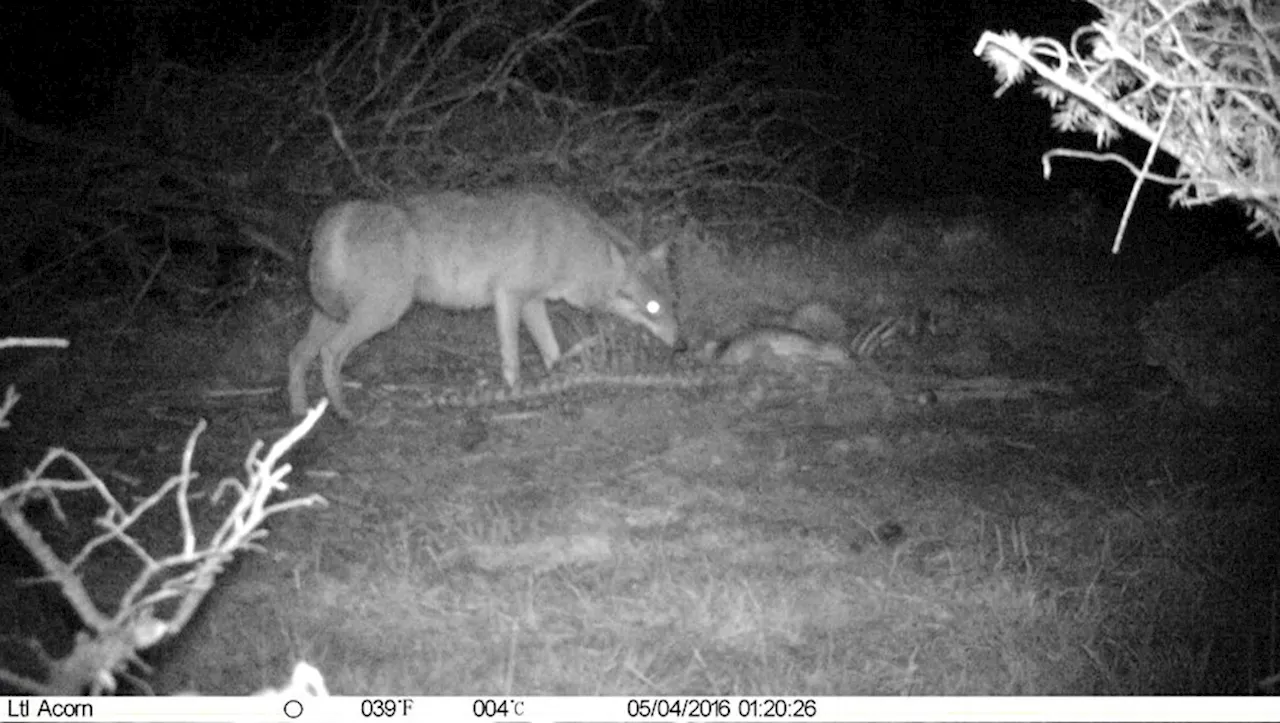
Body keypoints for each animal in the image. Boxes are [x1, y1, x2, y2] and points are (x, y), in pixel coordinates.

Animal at [288, 188, 680, 417]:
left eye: (671, 304)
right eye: (652, 309)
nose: (683, 345)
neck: (571, 245)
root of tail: (336, 216)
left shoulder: (532, 303)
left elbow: (552, 352)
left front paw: (561, 382)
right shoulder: (508, 298)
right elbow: (513, 361)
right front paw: (514, 396)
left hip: (333, 316)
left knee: (298, 355)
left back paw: (300, 413)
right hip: (380, 314)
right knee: (329, 354)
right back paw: (343, 412)